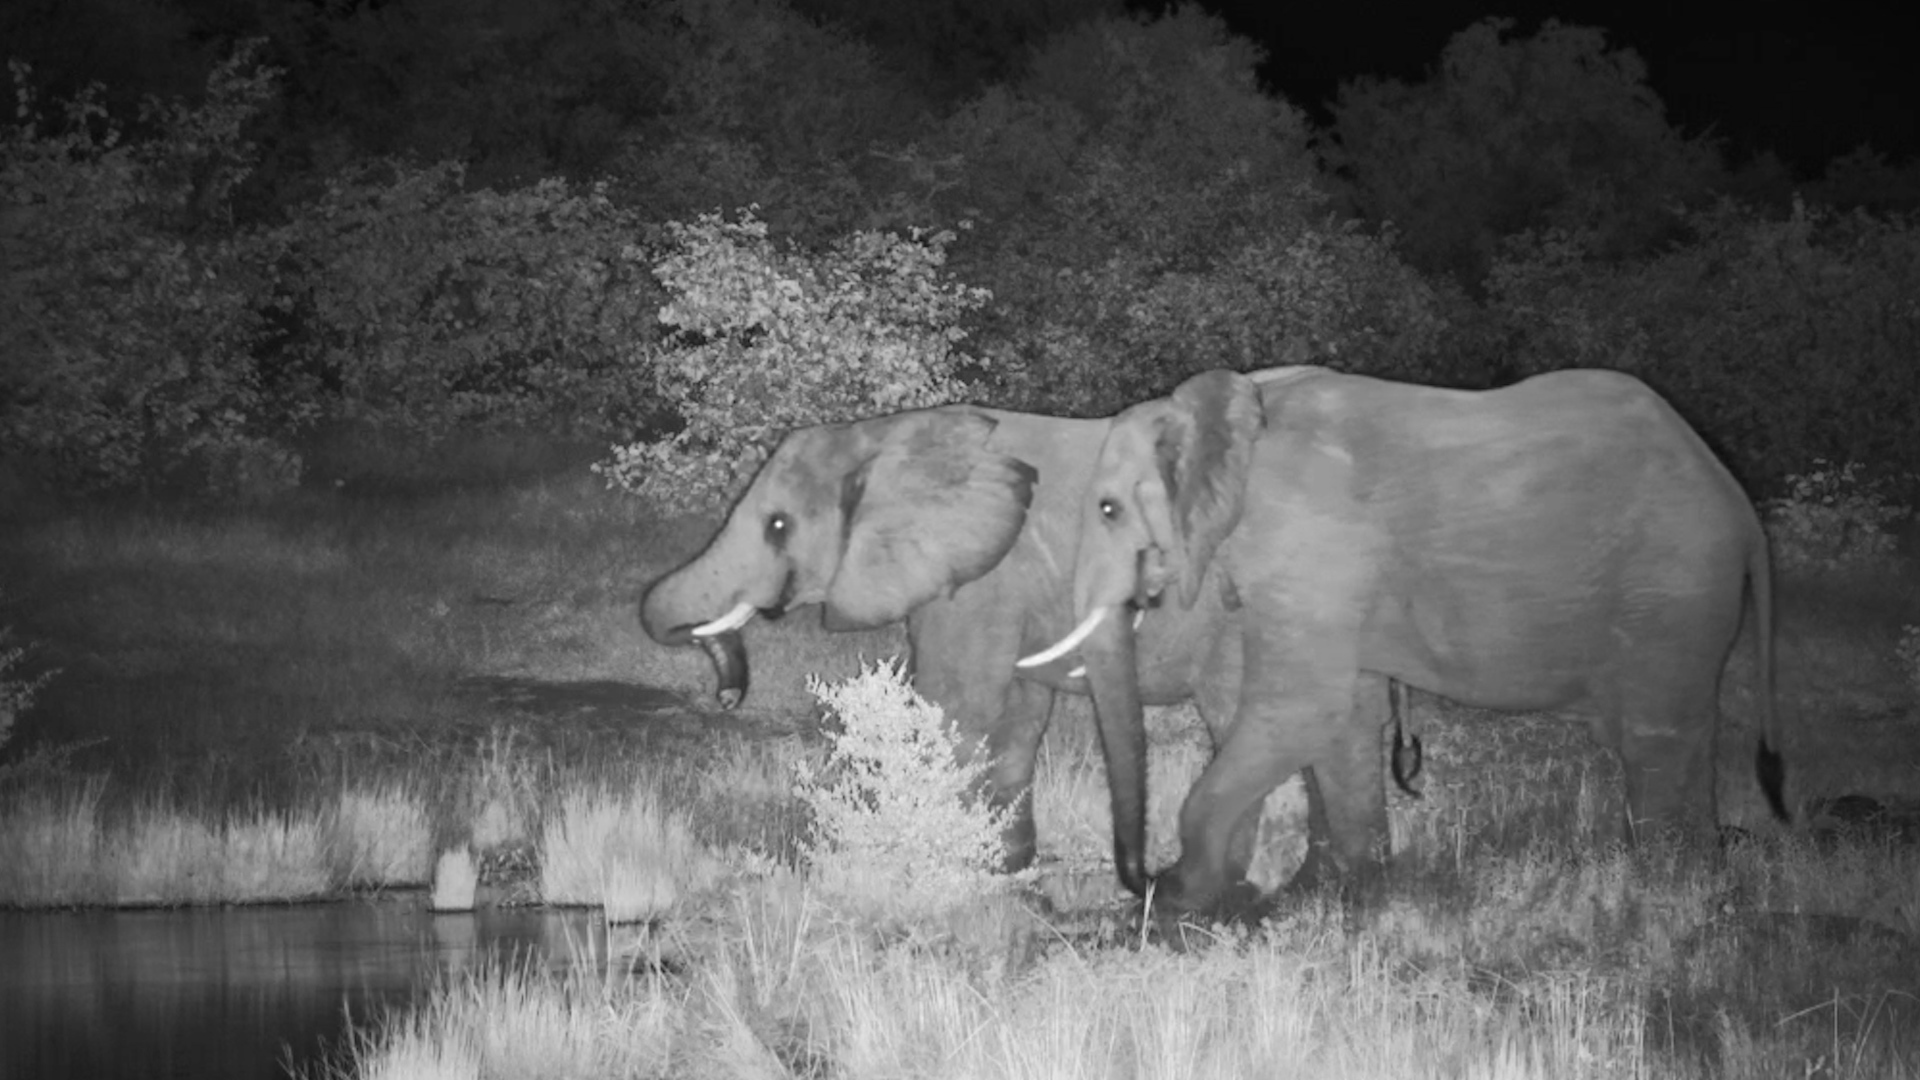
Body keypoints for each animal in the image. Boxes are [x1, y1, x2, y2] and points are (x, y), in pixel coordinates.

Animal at [640, 399, 1291, 885]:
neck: (883, 437)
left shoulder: (982, 584)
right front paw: (1005, 867)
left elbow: (956, 705)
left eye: (778, 526)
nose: (726, 697)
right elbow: (1018, 718)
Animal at [1021, 366, 1788, 917]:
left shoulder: (1312, 545)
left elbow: (1304, 707)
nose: (1138, 878)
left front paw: (1185, 902)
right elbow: (1346, 717)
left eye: (1108, 509)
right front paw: (1336, 897)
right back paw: (1701, 886)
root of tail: (1737, 502)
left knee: (1655, 731)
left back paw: (1669, 898)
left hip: (1674, 582)